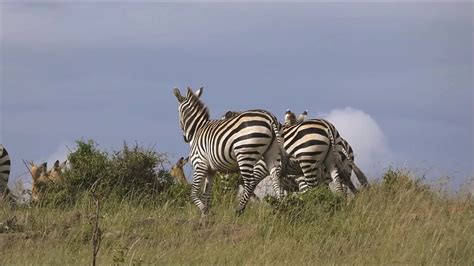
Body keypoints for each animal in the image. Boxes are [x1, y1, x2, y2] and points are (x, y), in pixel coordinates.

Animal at [173, 86, 286, 215]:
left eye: (178, 112)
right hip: (272, 153)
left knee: (250, 183)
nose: (186, 138)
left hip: (245, 154)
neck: (198, 129)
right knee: (276, 179)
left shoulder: (199, 164)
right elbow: (206, 195)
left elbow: (193, 194)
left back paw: (239, 210)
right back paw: (279, 209)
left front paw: (204, 211)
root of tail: (270, 117)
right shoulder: (211, 170)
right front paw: (205, 215)